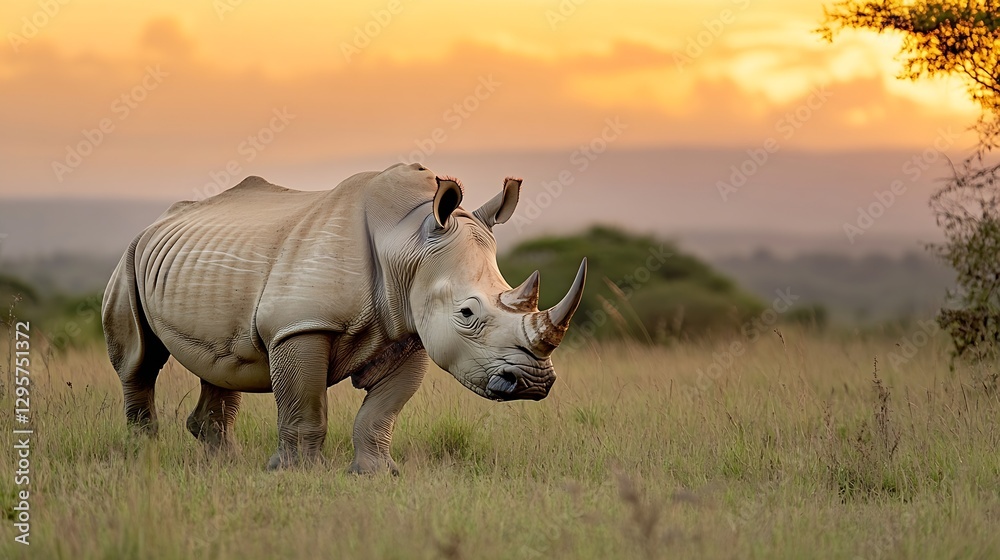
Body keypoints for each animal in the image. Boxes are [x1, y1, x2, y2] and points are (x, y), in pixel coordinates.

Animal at [102, 163, 587, 474]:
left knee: (221, 367)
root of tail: (159, 220)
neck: (408, 240)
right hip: (129, 257)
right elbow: (305, 405)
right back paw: (144, 453)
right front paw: (296, 473)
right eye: (467, 313)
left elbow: (382, 411)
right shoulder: (300, 325)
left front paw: (377, 474)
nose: (533, 384)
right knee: (140, 361)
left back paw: (224, 463)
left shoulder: (410, 331)